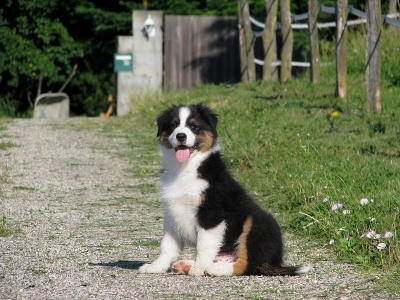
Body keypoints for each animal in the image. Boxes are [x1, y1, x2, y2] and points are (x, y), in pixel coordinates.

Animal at [138, 103, 310, 276]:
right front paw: (156, 266)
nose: (181, 136)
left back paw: (214, 268)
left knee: (248, 264)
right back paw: (186, 265)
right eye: (173, 125)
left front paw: (198, 269)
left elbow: (204, 244)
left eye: (194, 126)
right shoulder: (172, 212)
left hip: (257, 223)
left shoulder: (212, 213)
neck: (184, 168)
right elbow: (167, 245)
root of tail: (272, 260)